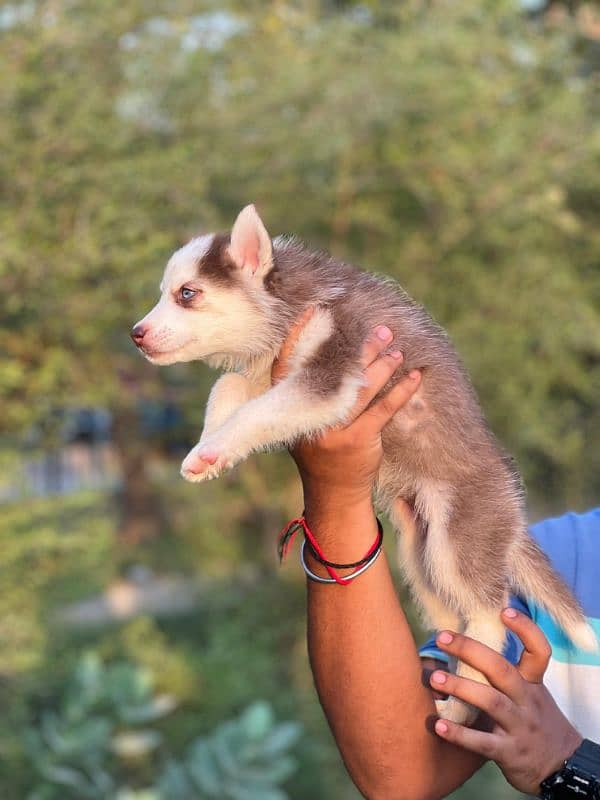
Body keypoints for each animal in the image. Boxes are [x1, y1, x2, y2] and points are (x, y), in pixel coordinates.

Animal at [134, 205, 596, 724]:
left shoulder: (333, 367)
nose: (136, 334)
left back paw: (461, 707)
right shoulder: (273, 374)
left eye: (186, 293)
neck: (294, 300)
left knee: (489, 617)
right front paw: (207, 450)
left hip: (459, 536)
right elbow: (229, 388)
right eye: (165, 293)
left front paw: (214, 447)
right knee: (452, 616)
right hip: (421, 555)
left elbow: (256, 410)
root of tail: (513, 516)